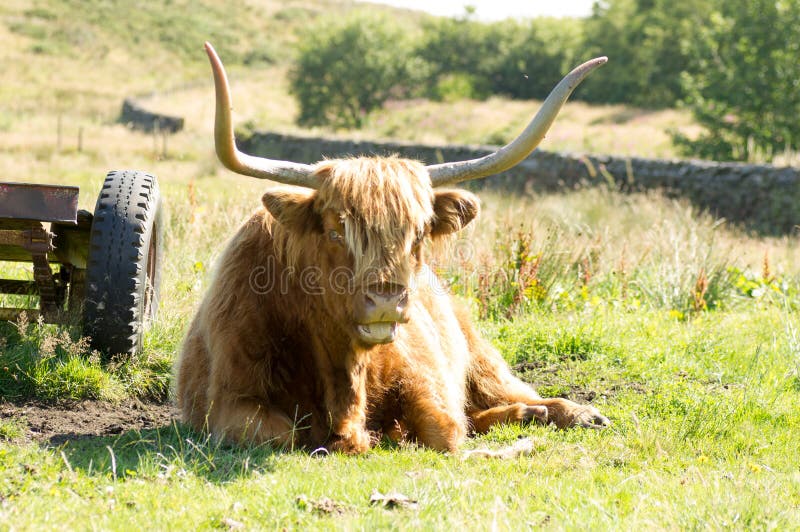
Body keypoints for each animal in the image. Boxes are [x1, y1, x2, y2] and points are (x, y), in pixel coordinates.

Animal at [175, 43, 609, 454]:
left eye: (417, 235)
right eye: (335, 231)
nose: (385, 300)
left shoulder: (423, 378)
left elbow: (445, 431)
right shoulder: (229, 400)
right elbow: (279, 434)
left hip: (481, 356)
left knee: (508, 393)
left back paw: (578, 414)